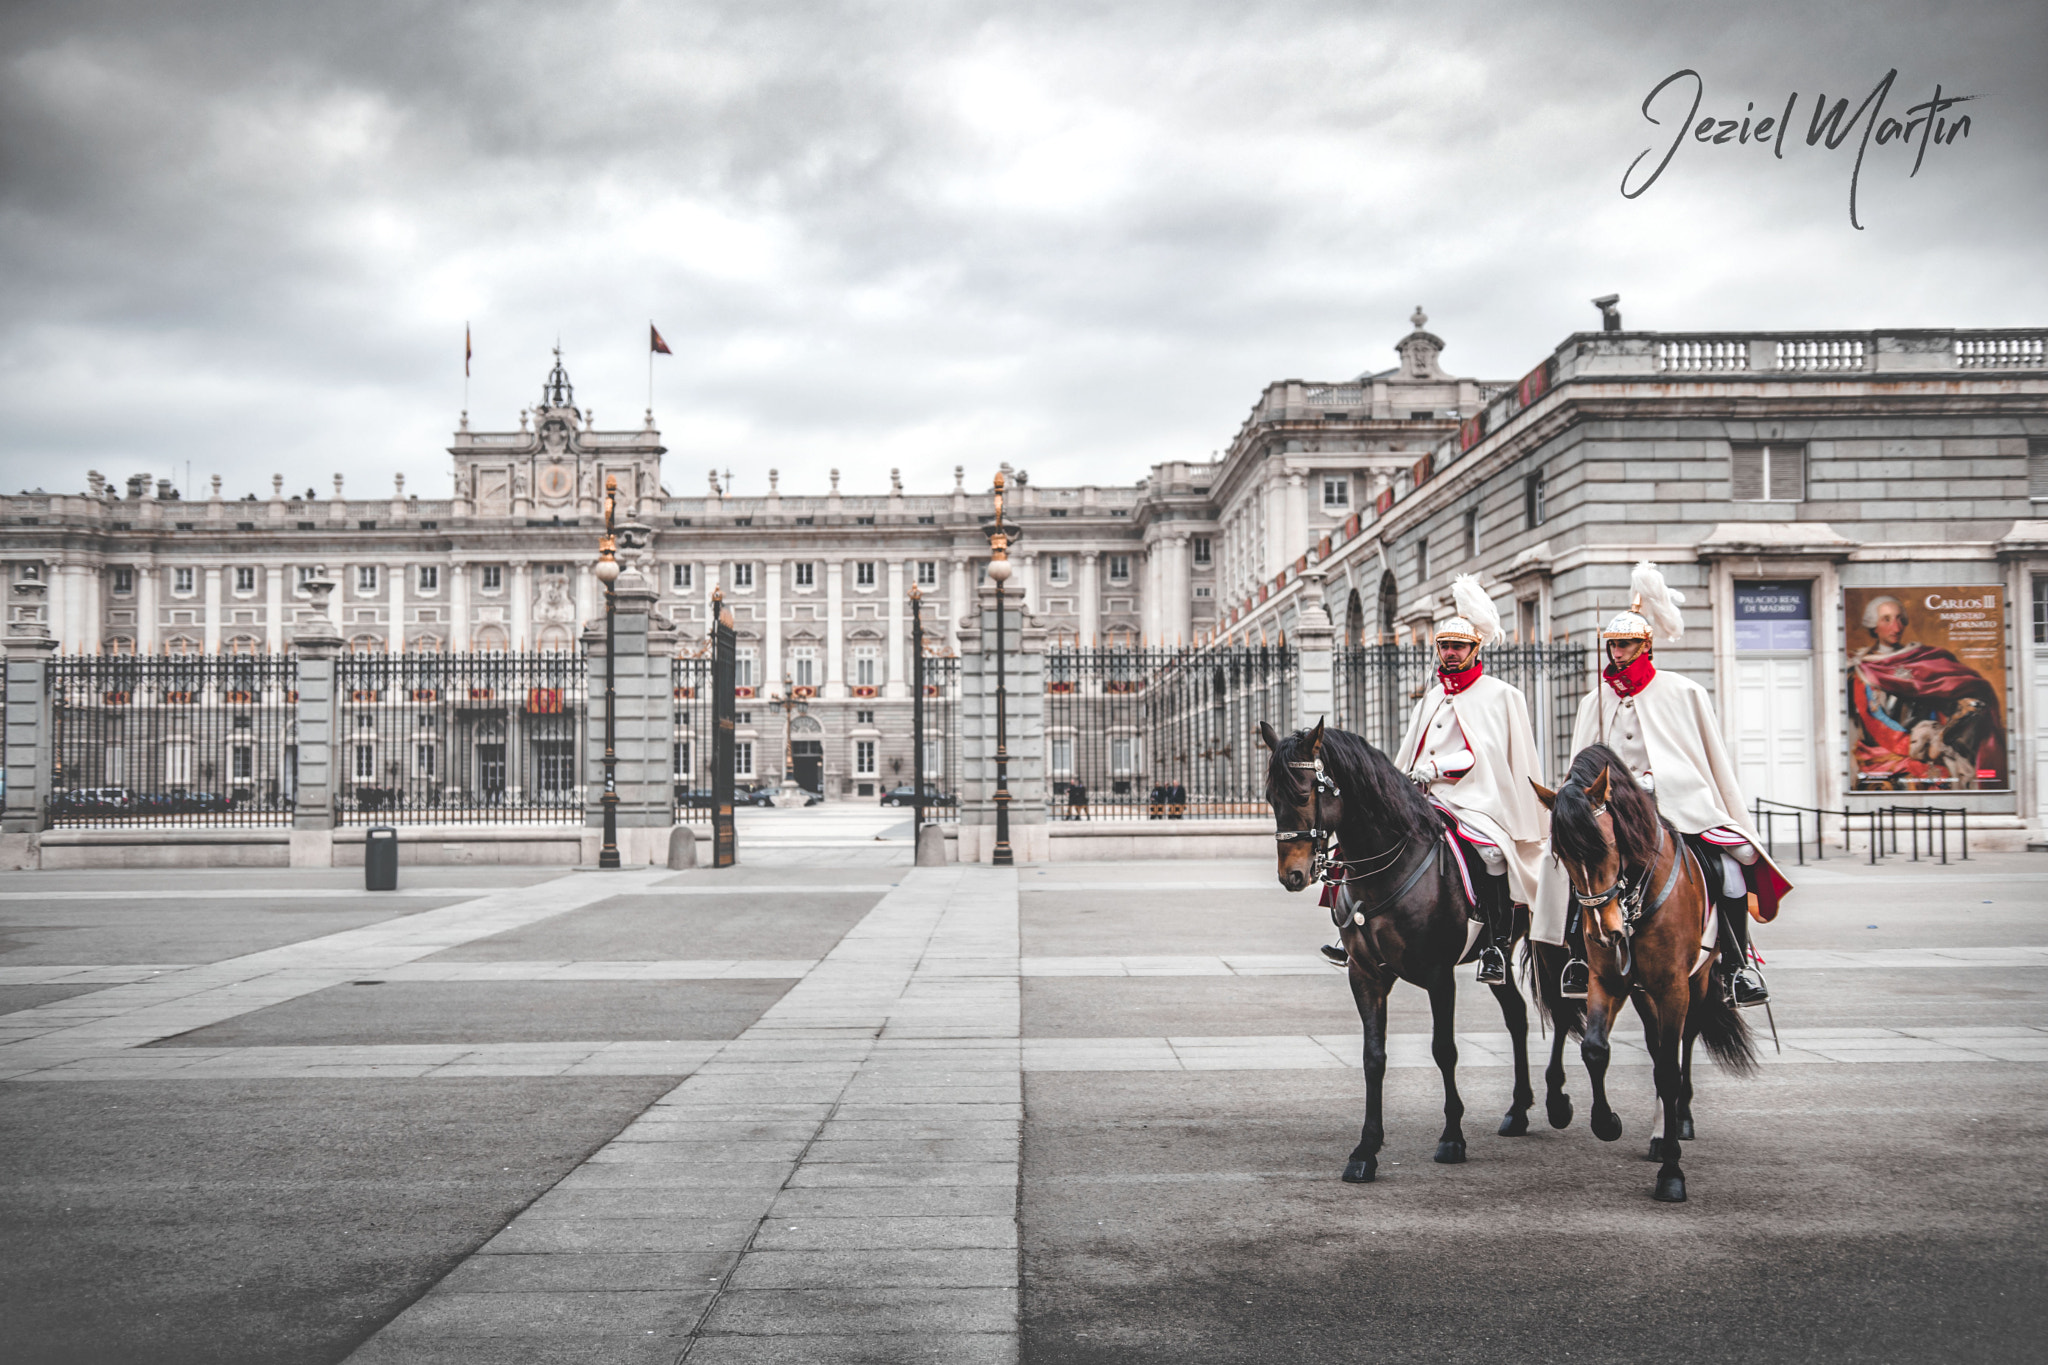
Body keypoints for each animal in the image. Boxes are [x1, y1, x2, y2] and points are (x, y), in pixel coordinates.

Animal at [1261, 720, 1540, 1178]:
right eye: (1269, 797)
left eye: (1302, 795)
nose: (1292, 875)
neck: (1386, 871)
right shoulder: (1366, 975)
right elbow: (1373, 1057)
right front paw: (1366, 1149)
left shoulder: (1440, 977)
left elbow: (1444, 1051)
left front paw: (1452, 1137)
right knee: (1517, 1015)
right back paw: (1518, 1111)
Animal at [1531, 740, 1753, 1203]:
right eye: (1561, 855)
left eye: (1604, 846)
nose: (1603, 932)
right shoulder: (1609, 981)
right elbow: (1595, 1049)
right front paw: (1606, 1122)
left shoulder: (1673, 988)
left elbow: (1670, 1068)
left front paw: (1672, 1172)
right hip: (1640, 990)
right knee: (1654, 1047)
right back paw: (1657, 1131)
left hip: (1696, 982)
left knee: (1682, 1044)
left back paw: (1678, 1120)